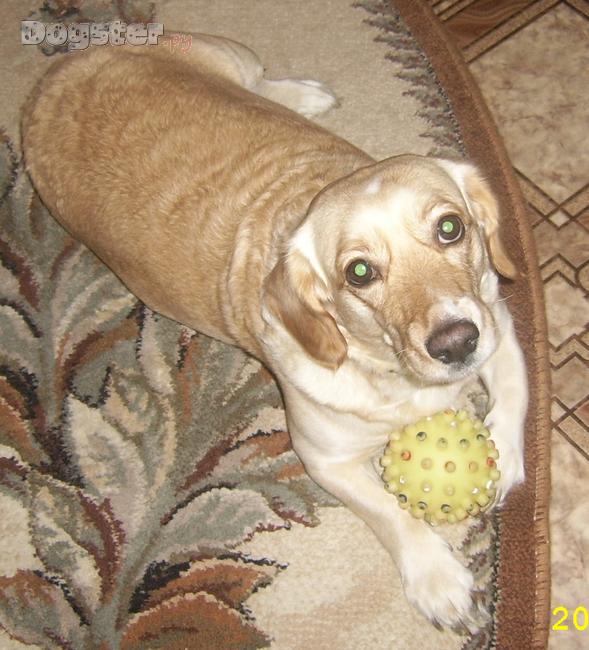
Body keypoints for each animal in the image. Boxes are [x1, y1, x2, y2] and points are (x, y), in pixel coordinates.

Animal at [22, 33, 528, 629]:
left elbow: (514, 394)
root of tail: (57, 71)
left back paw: (305, 95)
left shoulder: (497, 320)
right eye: (360, 271)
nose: (455, 344)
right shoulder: (323, 458)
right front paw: (439, 580)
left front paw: (501, 454)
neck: (392, 374)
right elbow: (390, 511)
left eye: (451, 227)